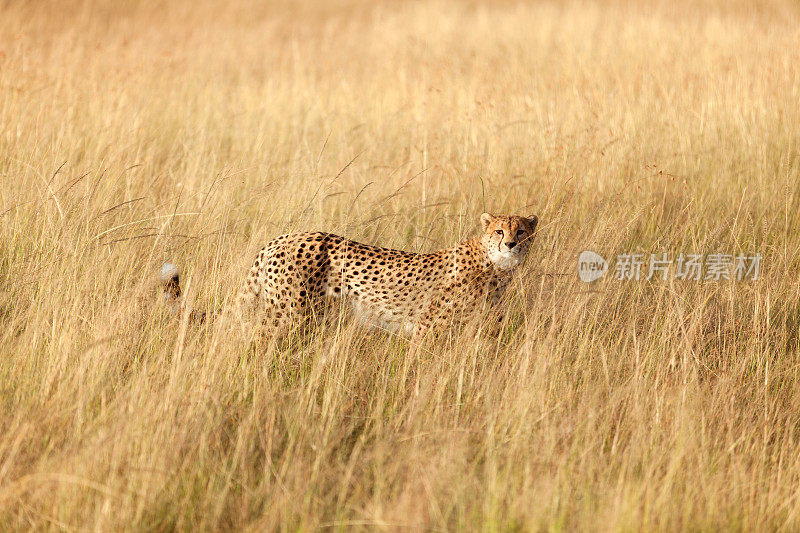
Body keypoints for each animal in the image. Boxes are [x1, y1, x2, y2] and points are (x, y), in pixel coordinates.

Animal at [161, 212, 536, 340]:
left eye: (521, 231)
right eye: (500, 231)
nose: (511, 244)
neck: (494, 266)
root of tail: (281, 237)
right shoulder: (428, 329)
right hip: (288, 314)